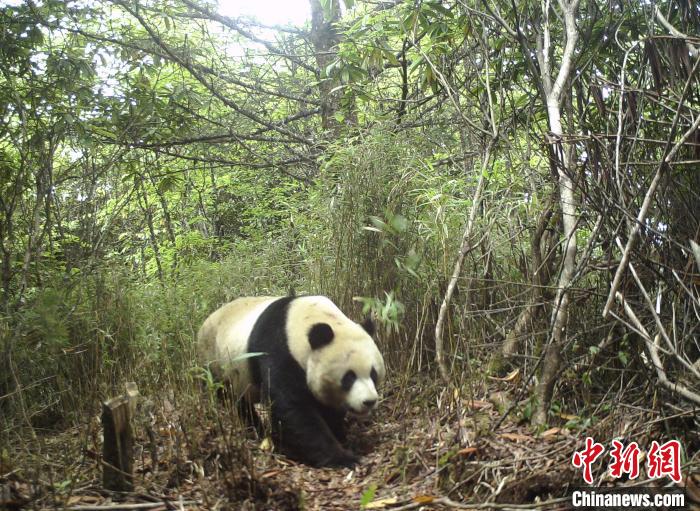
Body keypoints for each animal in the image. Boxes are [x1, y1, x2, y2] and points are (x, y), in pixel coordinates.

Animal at [194, 296, 386, 468]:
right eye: (349, 377)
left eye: (373, 374)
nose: (369, 401)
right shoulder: (278, 352)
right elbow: (292, 410)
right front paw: (342, 458)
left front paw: (339, 433)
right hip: (214, 363)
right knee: (234, 401)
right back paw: (257, 429)